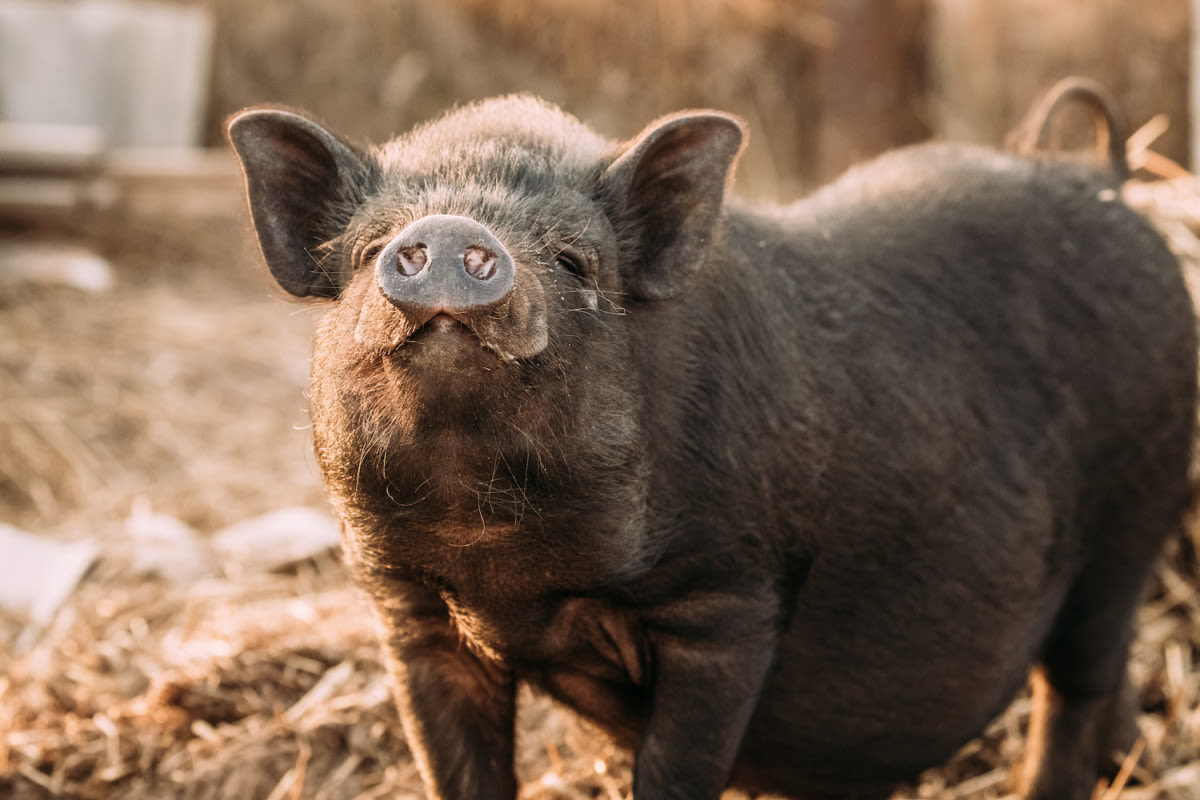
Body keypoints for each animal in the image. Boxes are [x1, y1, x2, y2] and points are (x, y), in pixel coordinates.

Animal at [226, 79, 1200, 800]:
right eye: (369, 251)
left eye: (576, 261)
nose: (453, 231)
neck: (503, 567)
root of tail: (1108, 180)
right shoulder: (412, 613)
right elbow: (458, 771)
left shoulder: (728, 601)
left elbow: (676, 771)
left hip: (1132, 514)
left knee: (1073, 687)